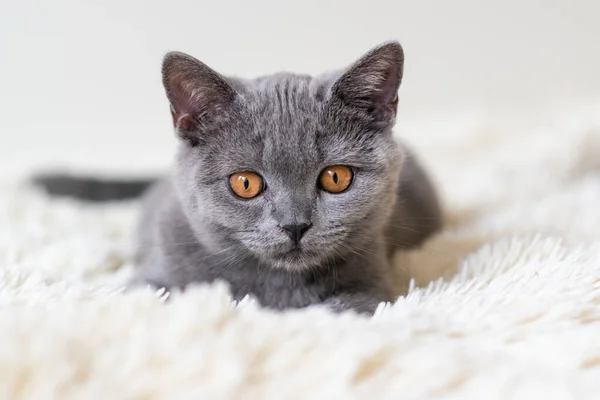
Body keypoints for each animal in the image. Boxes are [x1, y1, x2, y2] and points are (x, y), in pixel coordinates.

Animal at [35, 41, 442, 316]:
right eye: (245, 183)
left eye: (336, 177)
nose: (295, 225)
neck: (278, 286)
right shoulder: (151, 280)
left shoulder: (372, 287)